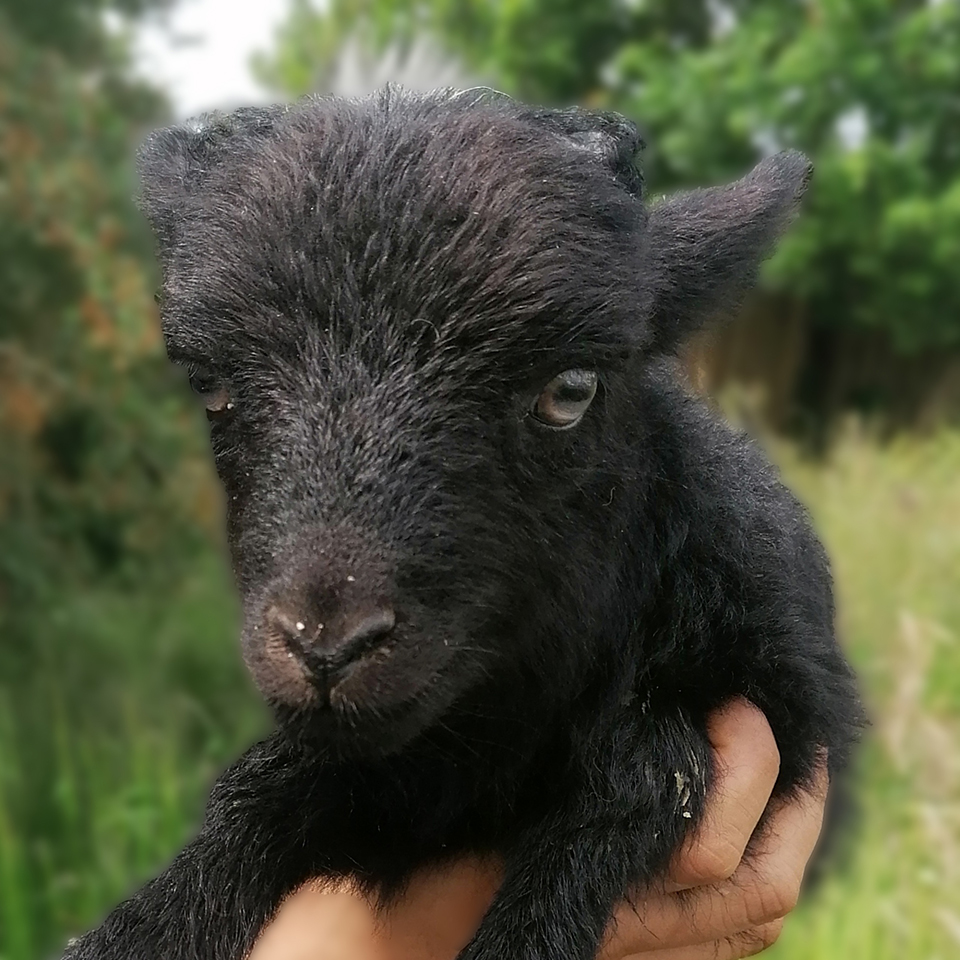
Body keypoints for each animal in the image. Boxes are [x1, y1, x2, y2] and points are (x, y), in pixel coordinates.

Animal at [65, 88, 864, 960]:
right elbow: (260, 785)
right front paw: (143, 926)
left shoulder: (771, 706)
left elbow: (645, 773)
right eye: (209, 386)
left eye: (571, 389)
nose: (326, 649)